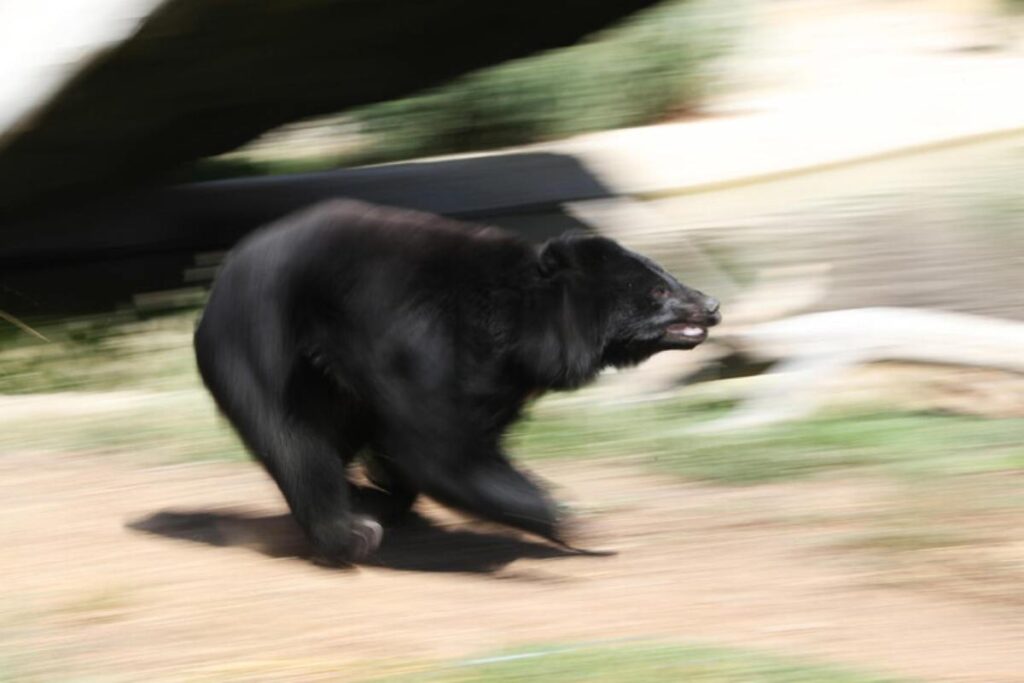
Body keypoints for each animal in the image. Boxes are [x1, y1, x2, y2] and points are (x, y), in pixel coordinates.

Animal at [193, 199, 720, 566]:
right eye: (658, 291)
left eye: (666, 276)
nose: (712, 305)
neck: (520, 325)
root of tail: (215, 292)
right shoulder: (421, 339)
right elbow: (439, 447)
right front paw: (575, 523)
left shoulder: (500, 379)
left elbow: (449, 439)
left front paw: (381, 493)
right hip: (264, 351)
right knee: (295, 442)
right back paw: (351, 536)